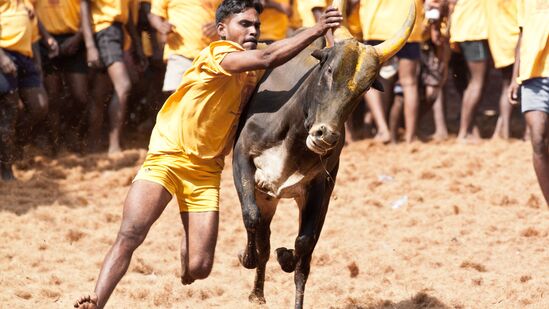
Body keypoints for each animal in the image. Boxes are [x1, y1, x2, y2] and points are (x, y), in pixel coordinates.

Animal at [231, 1, 416, 306]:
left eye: (366, 86)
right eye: (329, 70)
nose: (325, 136)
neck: (294, 133)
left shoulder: (321, 188)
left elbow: (304, 247)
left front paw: (287, 257)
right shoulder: (242, 161)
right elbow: (251, 217)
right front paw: (247, 257)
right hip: (267, 194)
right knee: (263, 237)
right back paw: (256, 292)